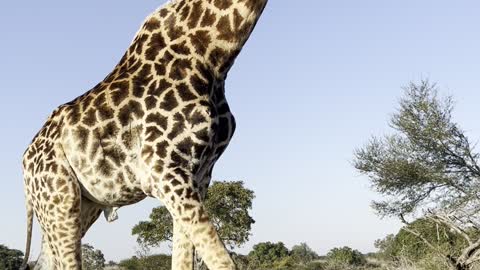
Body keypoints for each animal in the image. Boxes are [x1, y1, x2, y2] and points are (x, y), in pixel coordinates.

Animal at [19, 0, 266, 268]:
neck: (214, 54)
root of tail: (25, 163)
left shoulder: (199, 175)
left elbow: (183, 260)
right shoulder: (162, 170)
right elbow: (222, 261)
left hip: (80, 204)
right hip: (61, 200)